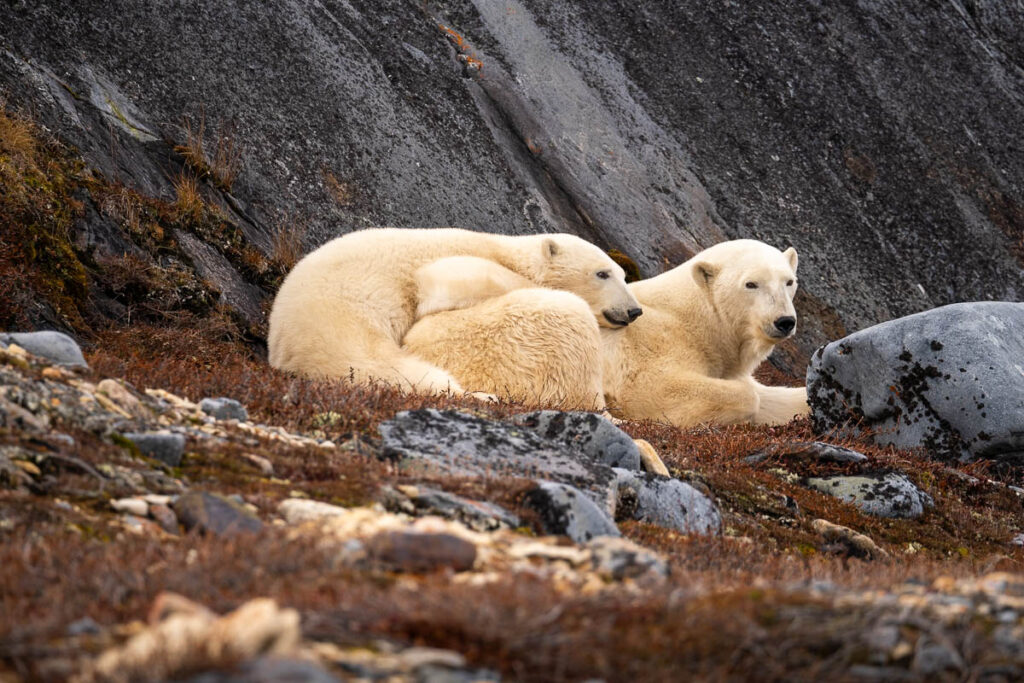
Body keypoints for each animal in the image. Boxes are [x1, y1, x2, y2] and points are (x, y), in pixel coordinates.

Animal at [403, 237, 811, 423]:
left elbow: (773, 396)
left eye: (789, 281)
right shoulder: (655, 348)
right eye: (751, 284)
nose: (784, 321)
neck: (698, 320)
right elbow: (660, 389)